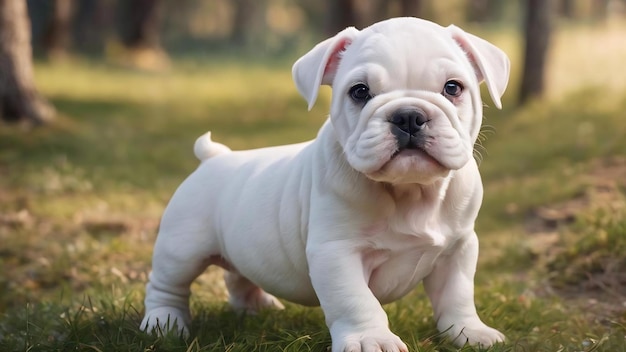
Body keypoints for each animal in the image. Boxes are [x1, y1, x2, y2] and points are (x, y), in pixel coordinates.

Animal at [141, 17, 508, 352]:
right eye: (360, 91)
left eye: (453, 88)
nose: (408, 115)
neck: (411, 191)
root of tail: (213, 157)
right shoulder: (337, 252)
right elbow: (356, 300)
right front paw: (371, 339)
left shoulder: (459, 247)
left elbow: (457, 294)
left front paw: (469, 332)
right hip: (182, 247)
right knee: (167, 285)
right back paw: (164, 324)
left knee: (239, 274)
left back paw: (257, 306)